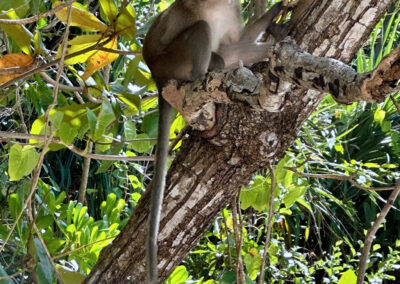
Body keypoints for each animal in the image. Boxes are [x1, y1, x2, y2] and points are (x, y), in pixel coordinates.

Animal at [142, 1, 286, 282]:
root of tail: (157, 77)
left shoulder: (232, 10)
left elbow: (235, 42)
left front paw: (276, 12)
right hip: (171, 61)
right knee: (200, 29)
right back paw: (202, 72)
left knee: (227, 49)